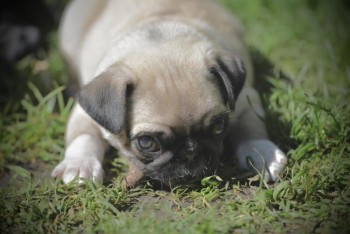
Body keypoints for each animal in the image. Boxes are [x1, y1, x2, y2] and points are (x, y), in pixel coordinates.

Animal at [52, 0, 288, 187]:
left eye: (219, 127)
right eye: (146, 143)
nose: (191, 152)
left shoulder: (245, 99)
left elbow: (251, 126)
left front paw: (262, 153)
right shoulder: (85, 113)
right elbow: (83, 135)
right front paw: (79, 164)